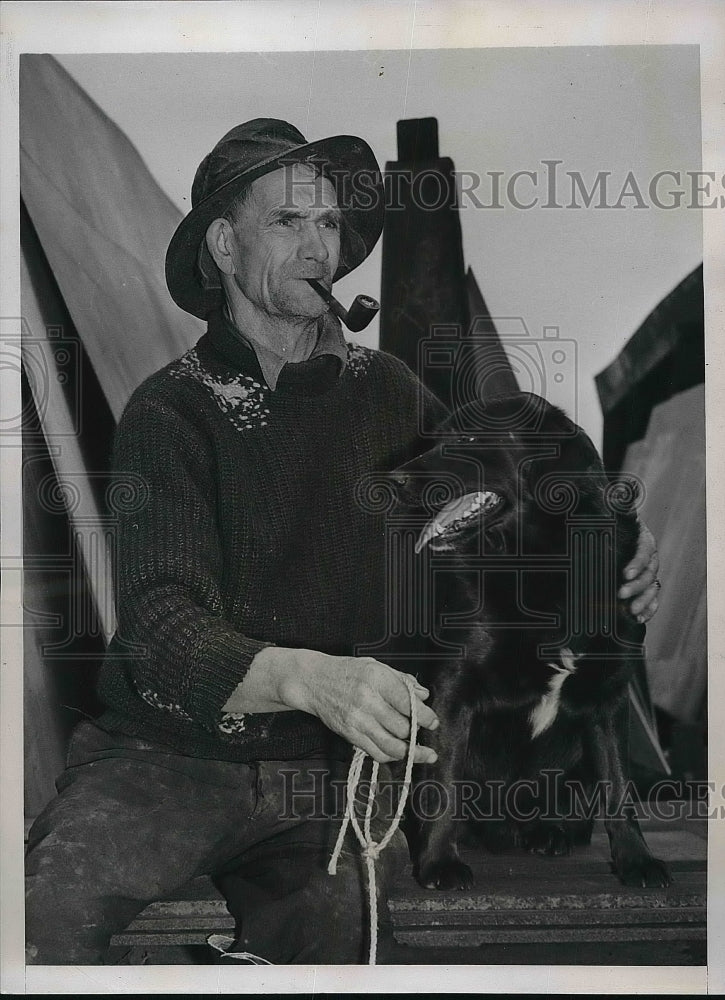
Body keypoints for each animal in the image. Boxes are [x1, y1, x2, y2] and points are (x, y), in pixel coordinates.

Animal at [390, 390, 668, 892]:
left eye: (470, 439)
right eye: (435, 438)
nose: (395, 480)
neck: (539, 562)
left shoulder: (609, 695)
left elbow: (619, 786)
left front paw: (637, 860)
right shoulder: (452, 689)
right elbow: (443, 780)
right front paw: (439, 863)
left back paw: (549, 832)